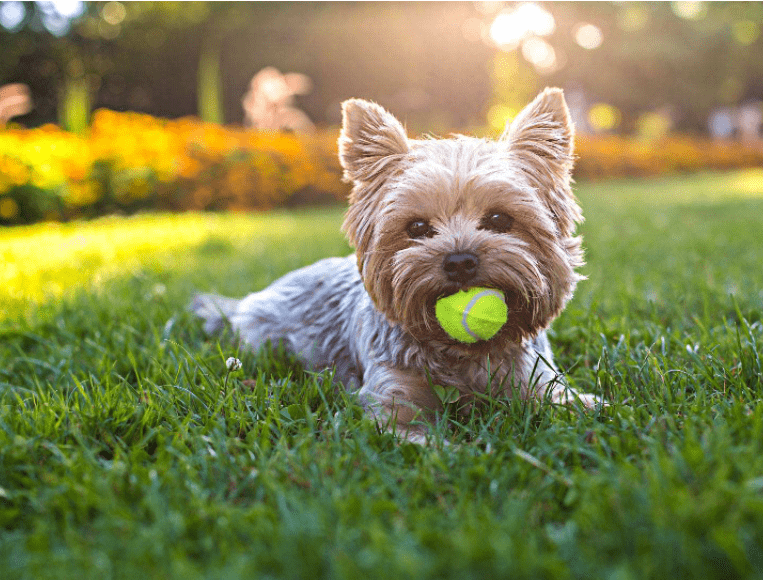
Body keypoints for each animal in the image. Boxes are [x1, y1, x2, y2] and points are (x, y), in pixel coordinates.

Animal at [191, 88, 604, 442]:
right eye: (417, 228)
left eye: (500, 219)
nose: (459, 260)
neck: (461, 353)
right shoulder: (393, 401)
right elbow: (419, 439)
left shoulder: (535, 379)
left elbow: (572, 403)